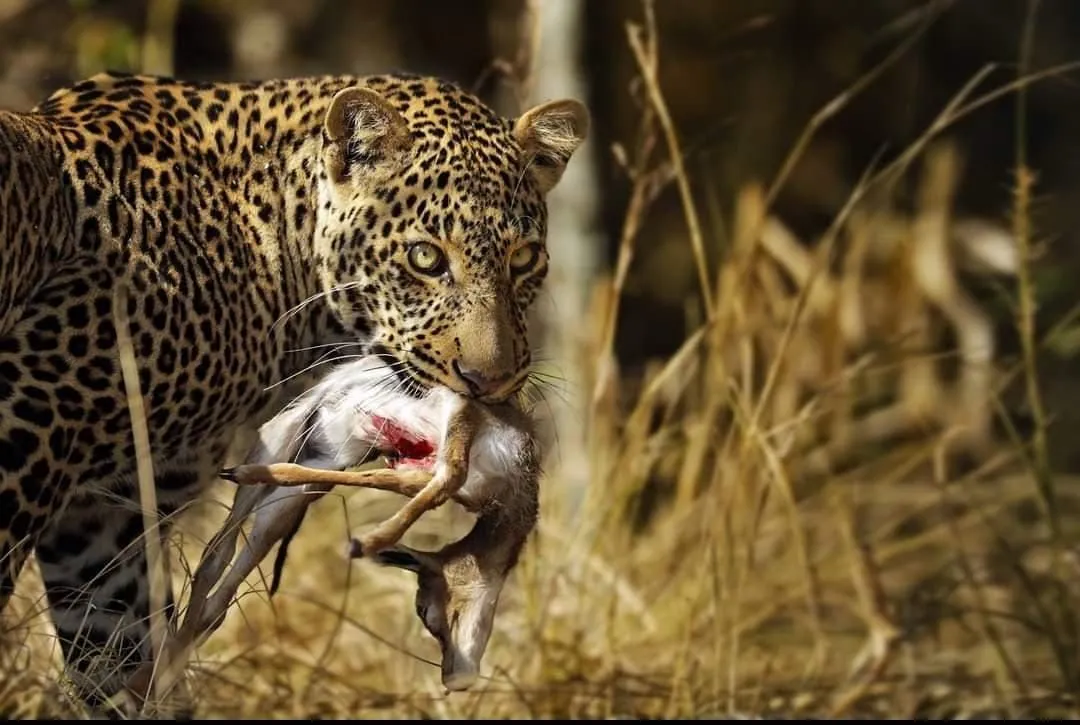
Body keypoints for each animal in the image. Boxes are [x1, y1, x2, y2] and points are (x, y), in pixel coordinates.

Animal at [0, 69, 588, 710]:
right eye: (425, 257)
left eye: (523, 258)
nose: (492, 382)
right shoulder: (24, 438)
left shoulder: (105, 520)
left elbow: (115, 655)